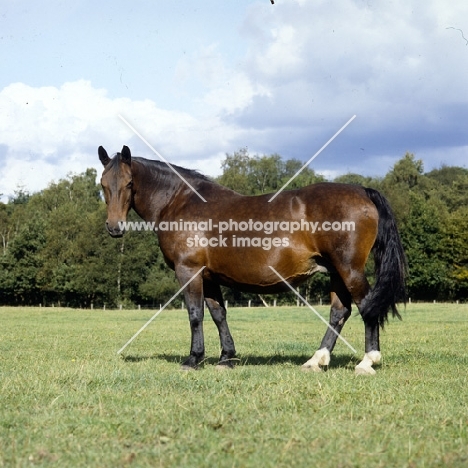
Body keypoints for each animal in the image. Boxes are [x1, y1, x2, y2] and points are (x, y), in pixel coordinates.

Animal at [98, 144, 406, 374]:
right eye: (102, 184)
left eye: (129, 183)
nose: (114, 227)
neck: (180, 202)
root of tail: (362, 190)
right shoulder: (210, 277)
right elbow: (218, 314)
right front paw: (226, 358)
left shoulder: (189, 272)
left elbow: (195, 314)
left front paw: (193, 359)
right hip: (336, 271)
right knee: (339, 312)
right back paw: (316, 360)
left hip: (349, 269)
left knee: (367, 307)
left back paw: (367, 361)